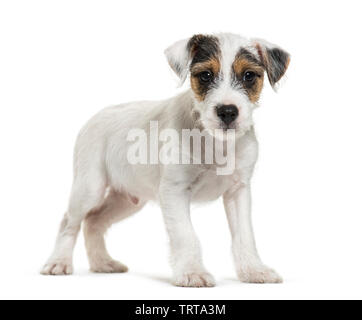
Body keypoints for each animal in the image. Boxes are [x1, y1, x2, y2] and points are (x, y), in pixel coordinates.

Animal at [41, 32, 290, 288]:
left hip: (127, 199)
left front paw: (254, 270)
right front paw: (192, 272)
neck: (214, 142)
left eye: (249, 75)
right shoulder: (174, 191)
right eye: (206, 75)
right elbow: (186, 234)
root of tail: (94, 117)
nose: (228, 111)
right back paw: (58, 262)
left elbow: (245, 235)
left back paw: (103, 263)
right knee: (69, 221)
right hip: (89, 188)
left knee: (94, 221)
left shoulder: (238, 191)